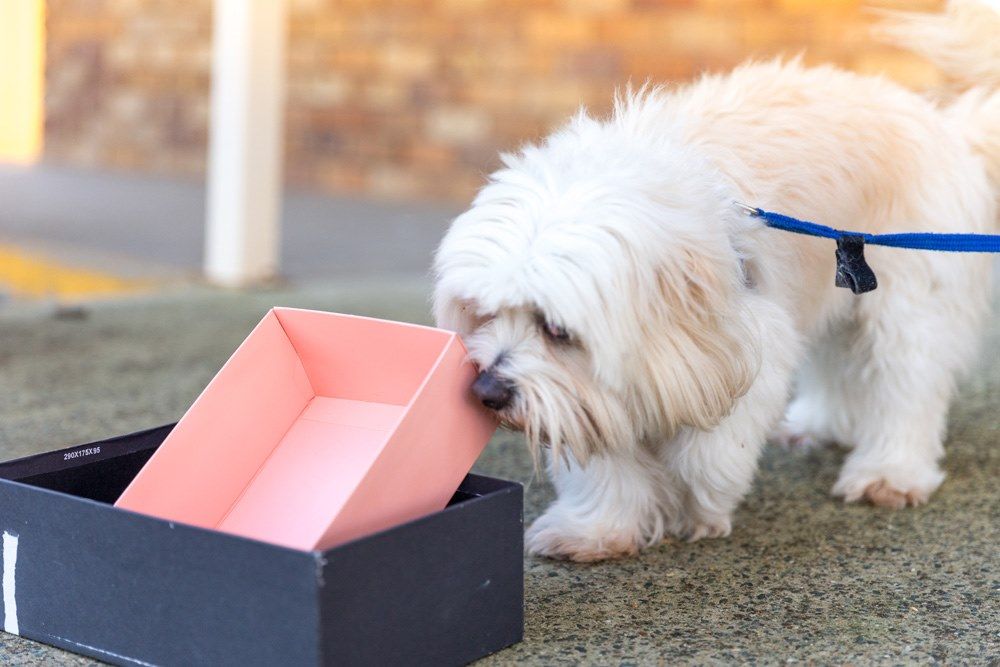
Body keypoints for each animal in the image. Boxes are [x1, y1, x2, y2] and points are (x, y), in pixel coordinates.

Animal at [434, 2, 996, 560]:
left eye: (556, 330)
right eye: (483, 313)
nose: (486, 391)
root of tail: (946, 127)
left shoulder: (739, 345)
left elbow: (708, 450)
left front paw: (695, 506)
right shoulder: (591, 392)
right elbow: (607, 467)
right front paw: (596, 529)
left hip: (908, 306)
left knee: (906, 387)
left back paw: (890, 472)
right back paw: (818, 425)